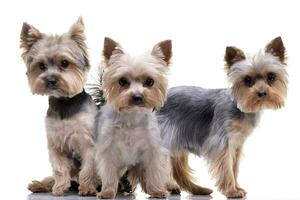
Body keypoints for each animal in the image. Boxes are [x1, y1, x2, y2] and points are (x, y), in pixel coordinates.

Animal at [20, 16, 99, 195]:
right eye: (41, 66)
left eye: (64, 63)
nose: (50, 80)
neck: (64, 102)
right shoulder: (56, 143)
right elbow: (60, 168)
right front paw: (59, 188)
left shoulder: (88, 142)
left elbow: (88, 168)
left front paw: (87, 188)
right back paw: (41, 185)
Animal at [95, 37, 176, 198]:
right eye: (122, 81)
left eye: (150, 81)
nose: (137, 97)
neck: (131, 116)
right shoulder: (108, 149)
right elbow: (109, 173)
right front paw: (107, 192)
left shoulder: (153, 149)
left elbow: (155, 170)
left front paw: (157, 190)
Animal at [156, 36, 288, 198]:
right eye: (247, 80)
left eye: (271, 77)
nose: (262, 93)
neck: (239, 107)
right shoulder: (222, 143)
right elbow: (227, 168)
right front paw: (232, 191)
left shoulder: (237, 144)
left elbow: (234, 167)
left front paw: (237, 187)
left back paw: (193, 189)